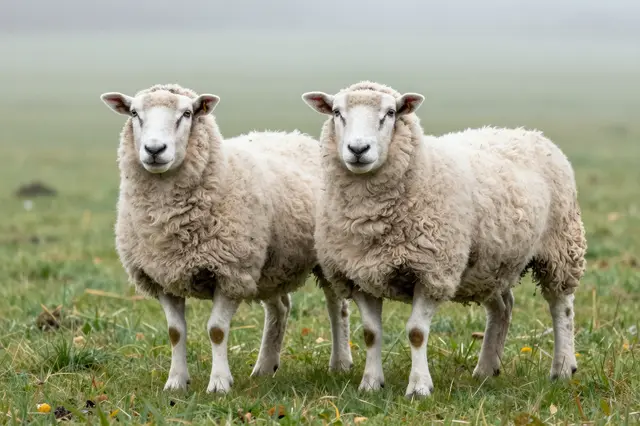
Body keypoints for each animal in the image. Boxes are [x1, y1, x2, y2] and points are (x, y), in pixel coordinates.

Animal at [99, 83, 352, 394]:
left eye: (187, 113)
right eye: (134, 113)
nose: (155, 150)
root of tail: (292, 135)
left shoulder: (231, 272)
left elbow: (217, 331)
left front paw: (219, 383)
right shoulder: (162, 277)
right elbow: (175, 332)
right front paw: (176, 382)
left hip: (320, 254)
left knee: (336, 307)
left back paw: (340, 363)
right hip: (268, 264)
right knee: (280, 308)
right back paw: (265, 367)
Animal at [301, 81, 587, 398]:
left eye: (390, 113)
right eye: (337, 113)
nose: (358, 149)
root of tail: (528, 132)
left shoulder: (432, 271)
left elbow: (416, 332)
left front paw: (419, 387)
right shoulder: (359, 274)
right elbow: (370, 333)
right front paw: (371, 384)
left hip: (561, 246)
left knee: (562, 306)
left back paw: (563, 368)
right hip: (489, 262)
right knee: (502, 307)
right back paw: (487, 368)